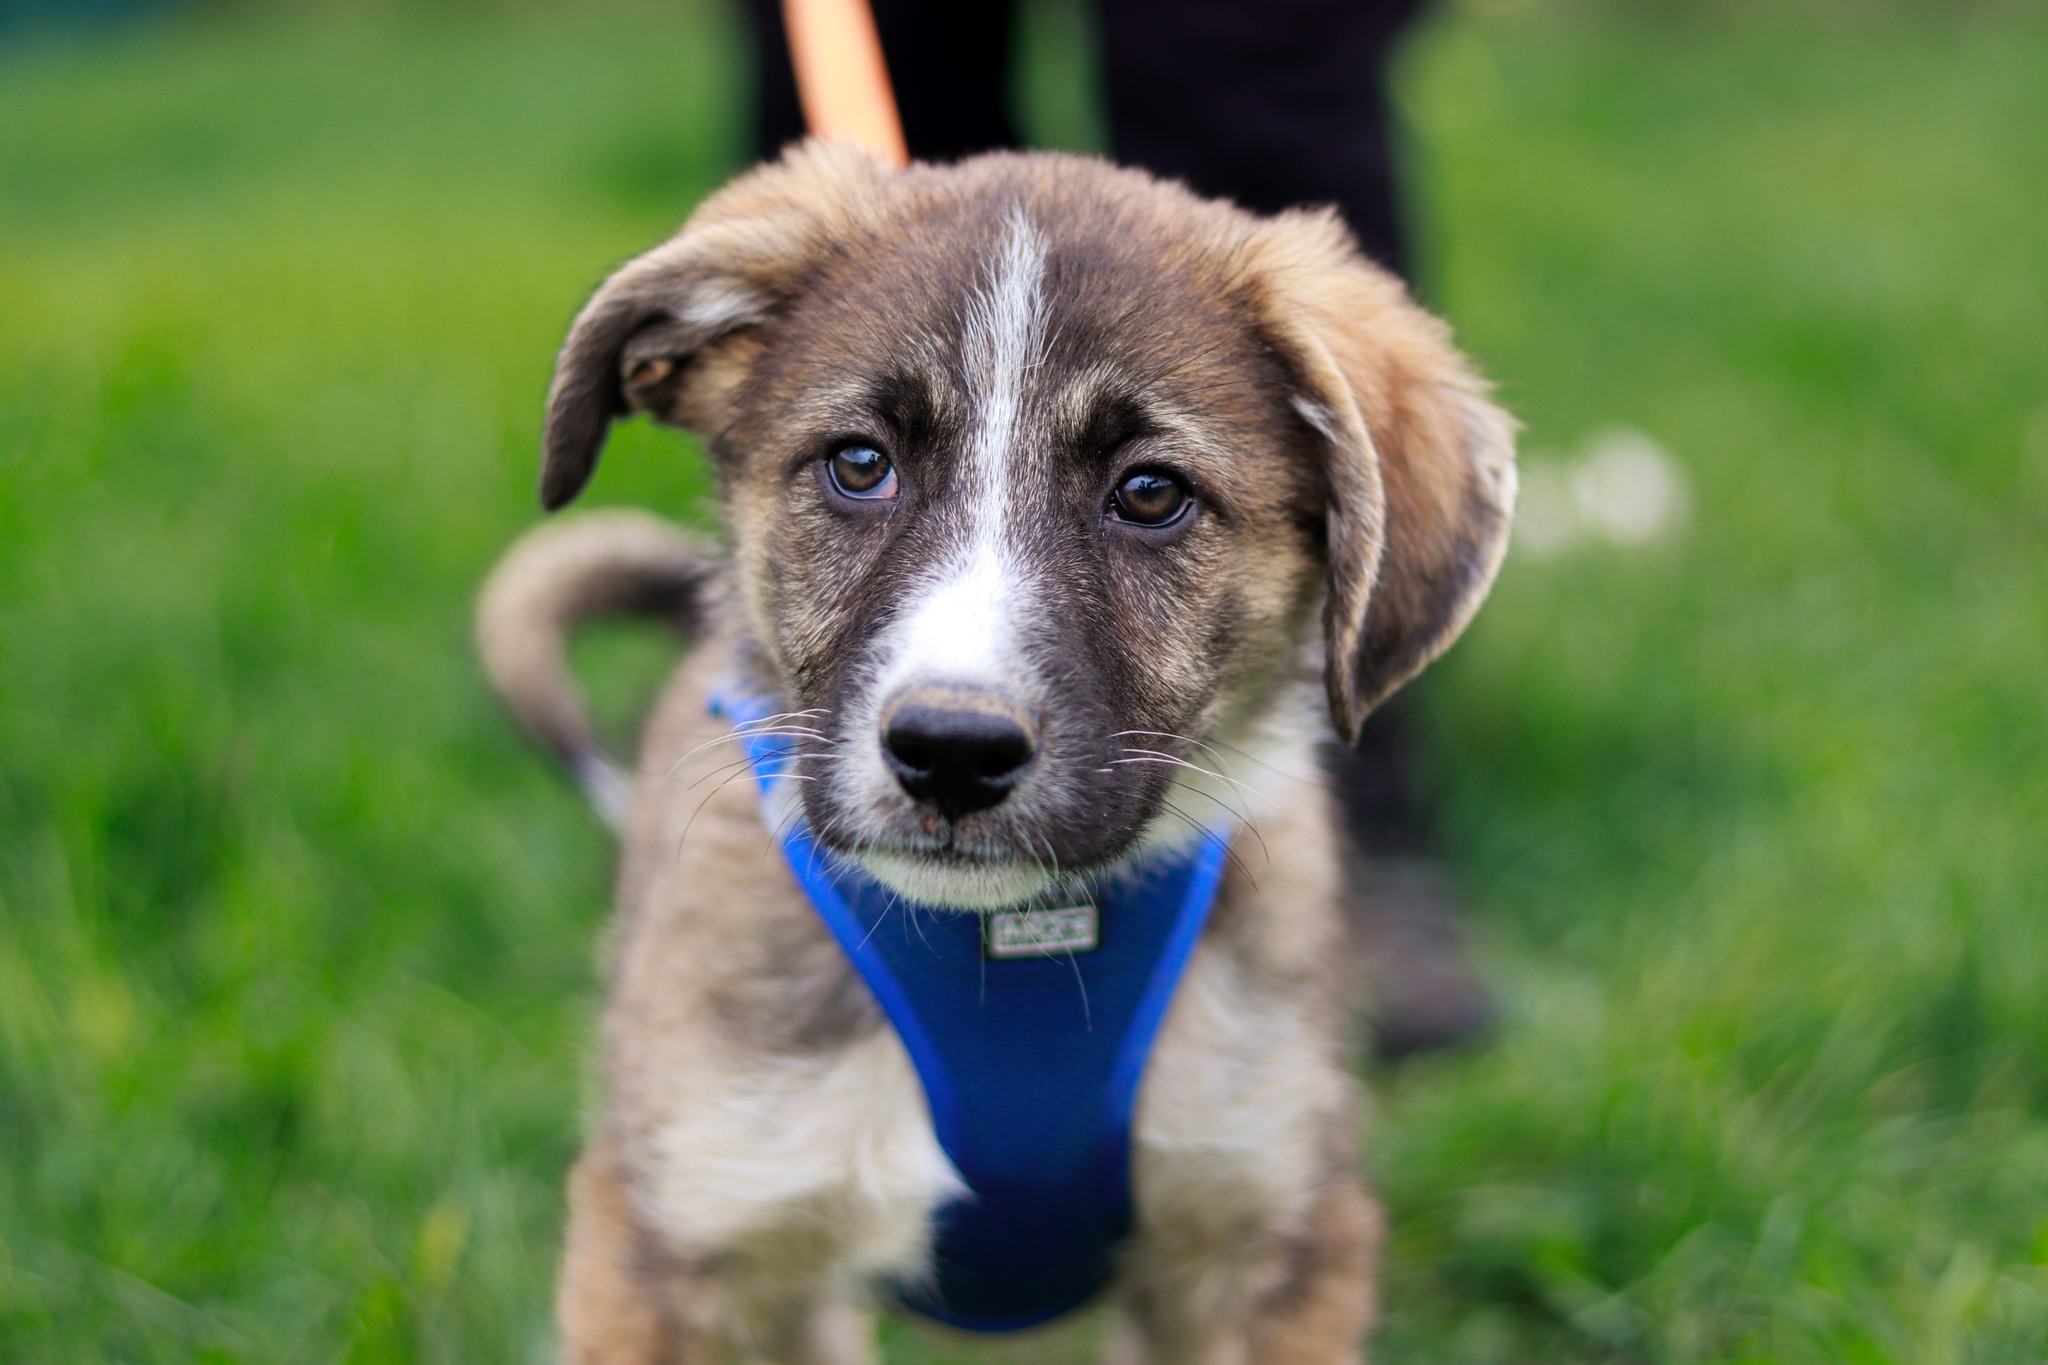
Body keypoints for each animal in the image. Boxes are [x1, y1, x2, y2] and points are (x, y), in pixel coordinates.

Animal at [479, 139, 1515, 1363]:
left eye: (1150, 493)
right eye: (858, 463)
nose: (951, 752)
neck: (1004, 944)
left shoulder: (1262, 1234)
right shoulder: (684, 1237)